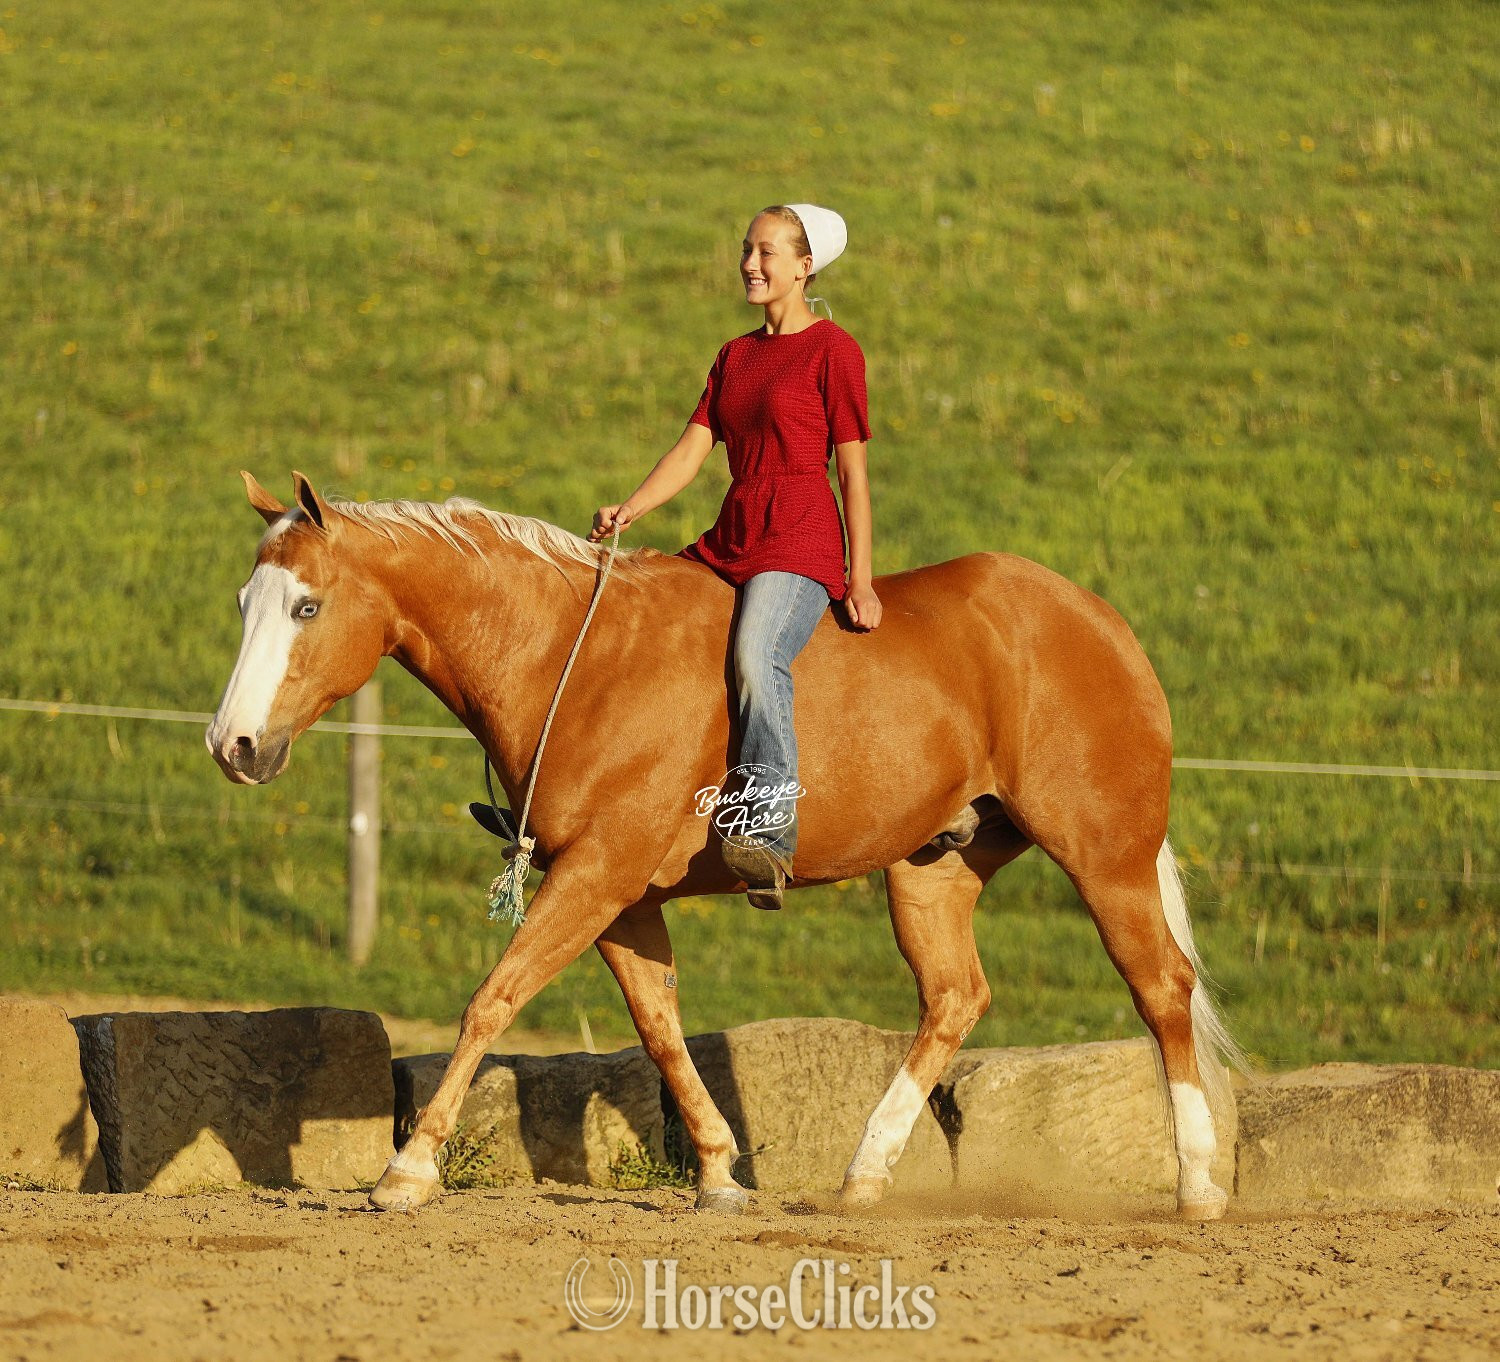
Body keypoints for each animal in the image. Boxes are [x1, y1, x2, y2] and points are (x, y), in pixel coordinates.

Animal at [206, 470, 1241, 1219]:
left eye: (306, 607)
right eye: (244, 601)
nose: (233, 746)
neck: (575, 660)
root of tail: (1098, 620)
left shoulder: (596, 877)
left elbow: (491, 1002)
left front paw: (408, 1169)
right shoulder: (622, 899)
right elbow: (661, 1031)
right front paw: (718, 1173)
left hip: (1104, 857)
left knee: (1161, 989)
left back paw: (1198, 1185)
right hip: (933, 868)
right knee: (954, 998)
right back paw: (864, 1176)